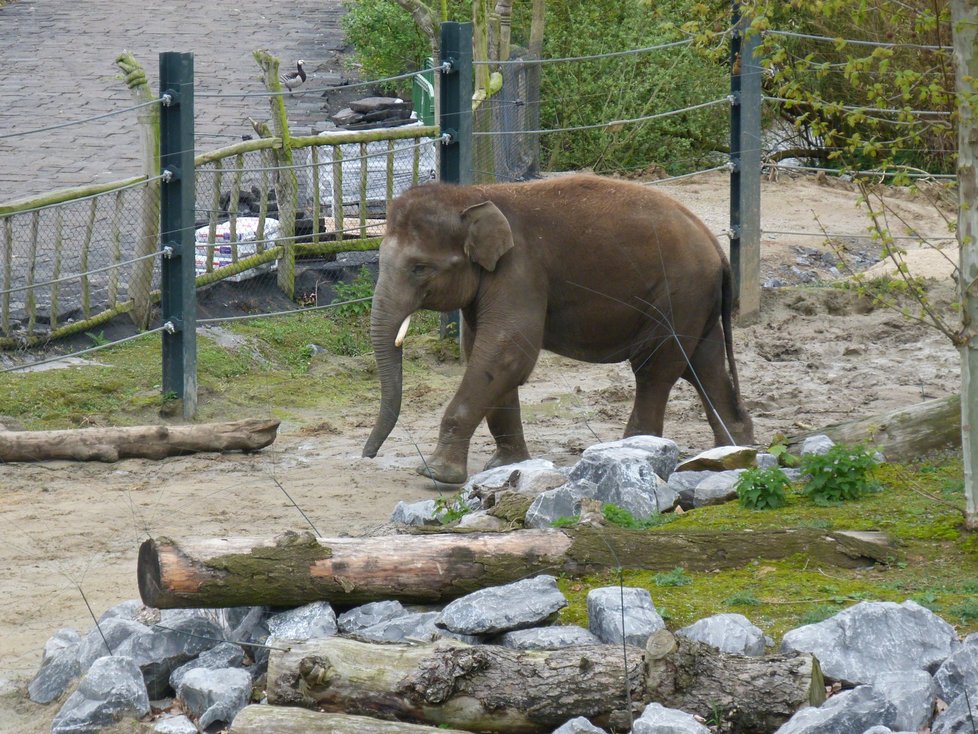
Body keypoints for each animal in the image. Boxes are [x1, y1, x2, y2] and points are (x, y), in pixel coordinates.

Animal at [362, 172, 752, 484]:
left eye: (420, 268)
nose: (367, 455)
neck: (473, 195)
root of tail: (717, 245)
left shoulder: (520, 270)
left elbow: (507, 352)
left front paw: (436, 475)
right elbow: (485, 354)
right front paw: (505, 465)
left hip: (677, 293)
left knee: (655, 369)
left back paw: (636, 447)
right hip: (695, 300)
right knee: (704, 365)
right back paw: (733, 451)